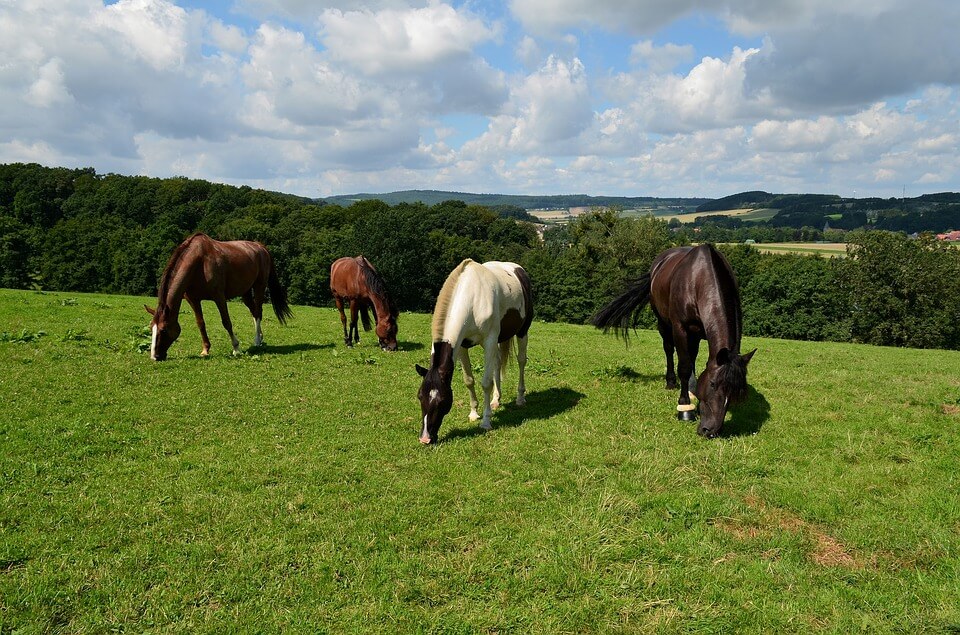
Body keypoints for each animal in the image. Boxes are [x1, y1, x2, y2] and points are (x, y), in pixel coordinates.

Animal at [145, 233, 292, 361]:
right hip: (245, 292)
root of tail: (260, 246)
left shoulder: (219, 297)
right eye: (151, 327)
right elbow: (200, 323)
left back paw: (256, 340)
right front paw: (205, 350)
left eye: (163, 330)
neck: (199, 262)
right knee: (254, 312)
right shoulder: (193, 300)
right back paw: (260, 338)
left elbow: (226, 322)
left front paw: (236, 348)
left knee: (258, 312)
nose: (155, 357)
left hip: (259, 286)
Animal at [415, 259, 533, 444]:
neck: (471, 298)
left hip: (522, 331)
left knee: (521, 360)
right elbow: (469, 380)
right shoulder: (462, 345)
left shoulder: (490, 340)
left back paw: (520, 398)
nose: (425, 438)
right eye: (420, 396)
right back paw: (496, 400)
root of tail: (519, 270)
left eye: (441, 400)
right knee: (497, 363)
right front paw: (473, 413)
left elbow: (485, 383)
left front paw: (486, 421)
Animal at [590, 244, 756, 438]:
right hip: (663, 323)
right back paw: (671, 382)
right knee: (669, 349)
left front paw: (692, 392)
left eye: (735, 394)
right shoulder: (680, 328)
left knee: (692, 354)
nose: (709, 431)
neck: (699, 279)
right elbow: (683, 366)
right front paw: (685, 407)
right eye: (713, 384)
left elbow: (692, 360)